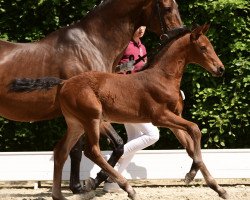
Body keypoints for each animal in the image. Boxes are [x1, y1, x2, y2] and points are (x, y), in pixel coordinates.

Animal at [0, 0, 184, 194]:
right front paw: (88, 183)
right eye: (167, 8)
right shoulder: (91, 115)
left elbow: (96, 148)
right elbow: (99, 147)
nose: (181, 36)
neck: (92, 44)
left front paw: (84, 184)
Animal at [9, 24, 229, 199]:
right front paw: (191, 175)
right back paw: (127, 188)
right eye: (203, 47)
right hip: (92, 118)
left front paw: (216, 187)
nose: (220, 69)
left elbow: (191, 145)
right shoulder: (160, 117)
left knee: (61, 151)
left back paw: (59, 195)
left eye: (210, 46)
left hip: (76, 123)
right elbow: (195, 129)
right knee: (92, 150)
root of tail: (63, 83)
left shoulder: (174, 119)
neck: (163, 78)